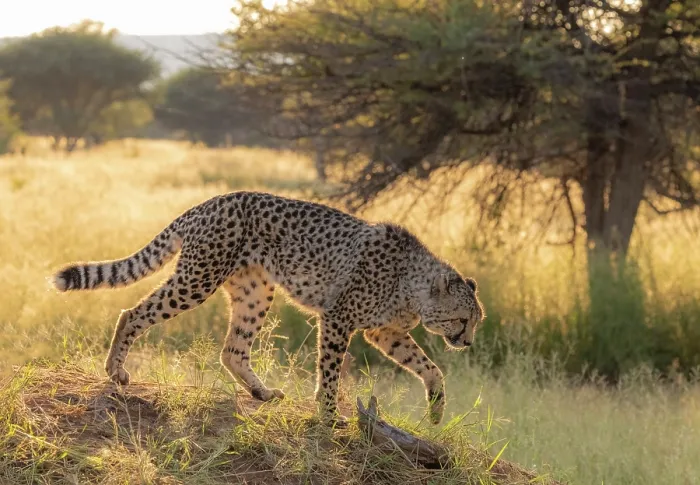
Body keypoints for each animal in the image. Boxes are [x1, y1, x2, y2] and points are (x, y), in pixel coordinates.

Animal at [51, 191, 484, 425]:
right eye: (462, 319)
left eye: (475, 322)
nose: (467, 343)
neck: (413, 285)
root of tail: (211, 201)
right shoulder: (338, 318)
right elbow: (330, 371)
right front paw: (329, 415)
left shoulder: (385, 332)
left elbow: (429, 367)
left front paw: (436, 410)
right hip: (197, 280)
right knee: (133, 313)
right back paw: (115, 370)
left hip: (255, 292)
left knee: (232, 349)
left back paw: (260, 392)